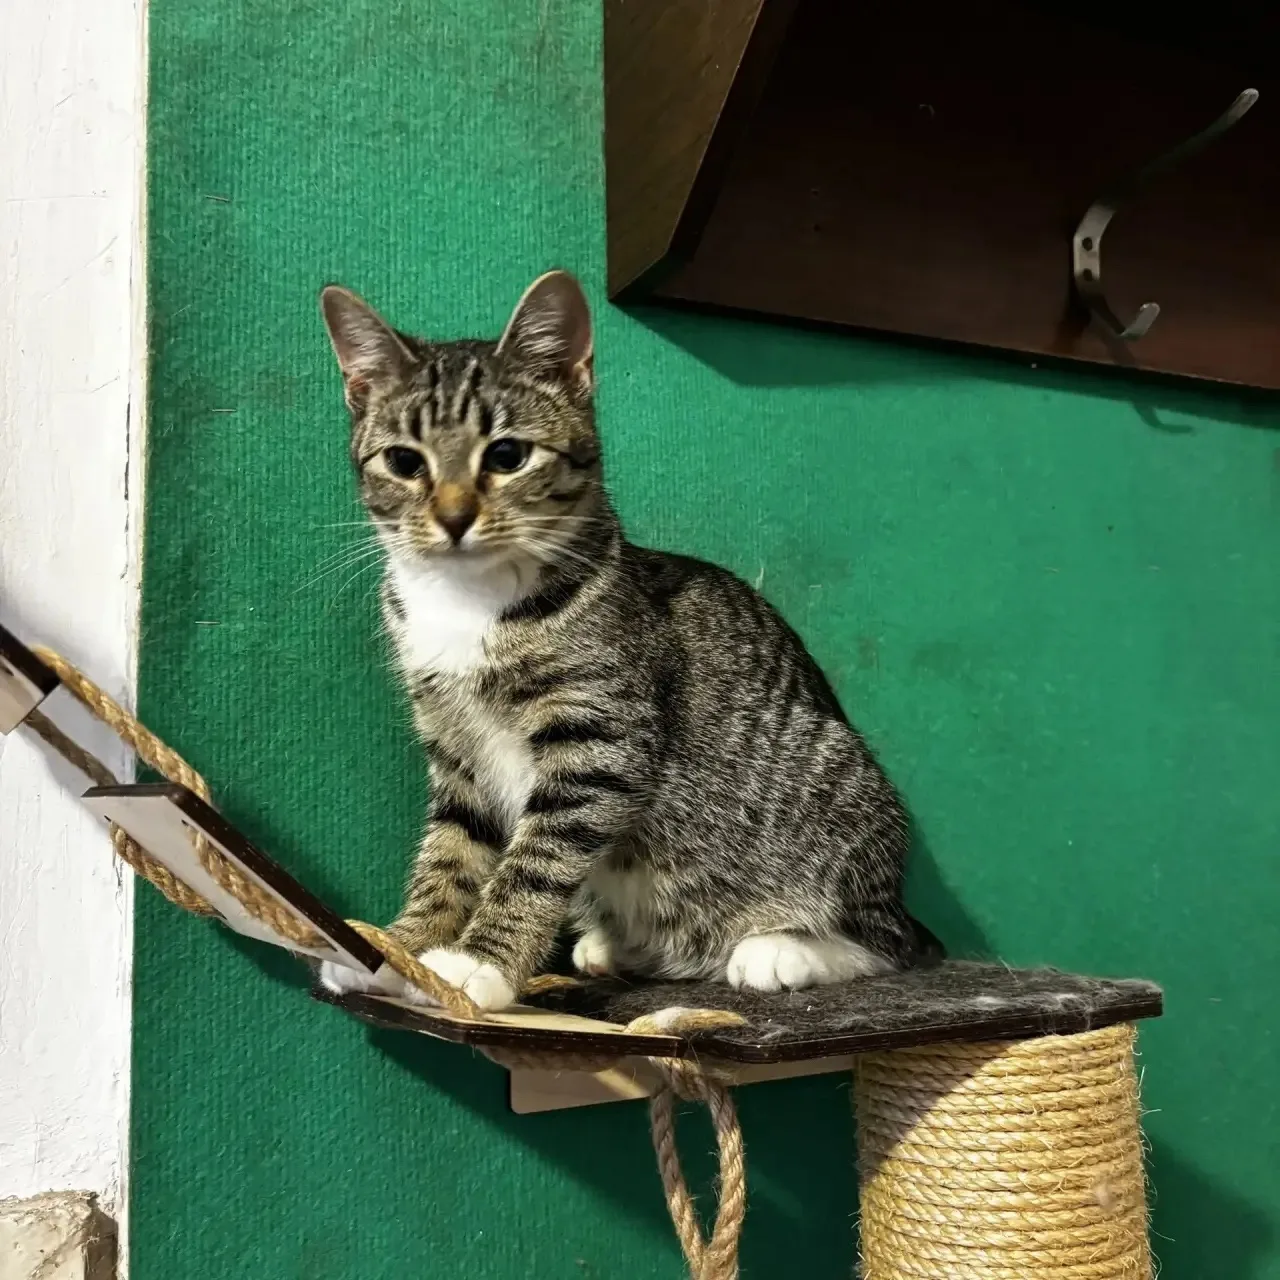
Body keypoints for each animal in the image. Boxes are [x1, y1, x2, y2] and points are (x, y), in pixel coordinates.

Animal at [318, 270, 931, 1012]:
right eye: (405, 462)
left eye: (507, 455)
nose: (455, 516)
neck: (470, 601)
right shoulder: (454, 747)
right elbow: (451, 852)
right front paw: (400, 949)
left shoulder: (599, 740)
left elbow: (536, 860)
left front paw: (480, 963)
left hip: (838, 791)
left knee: (891, 945)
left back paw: (782, 949)